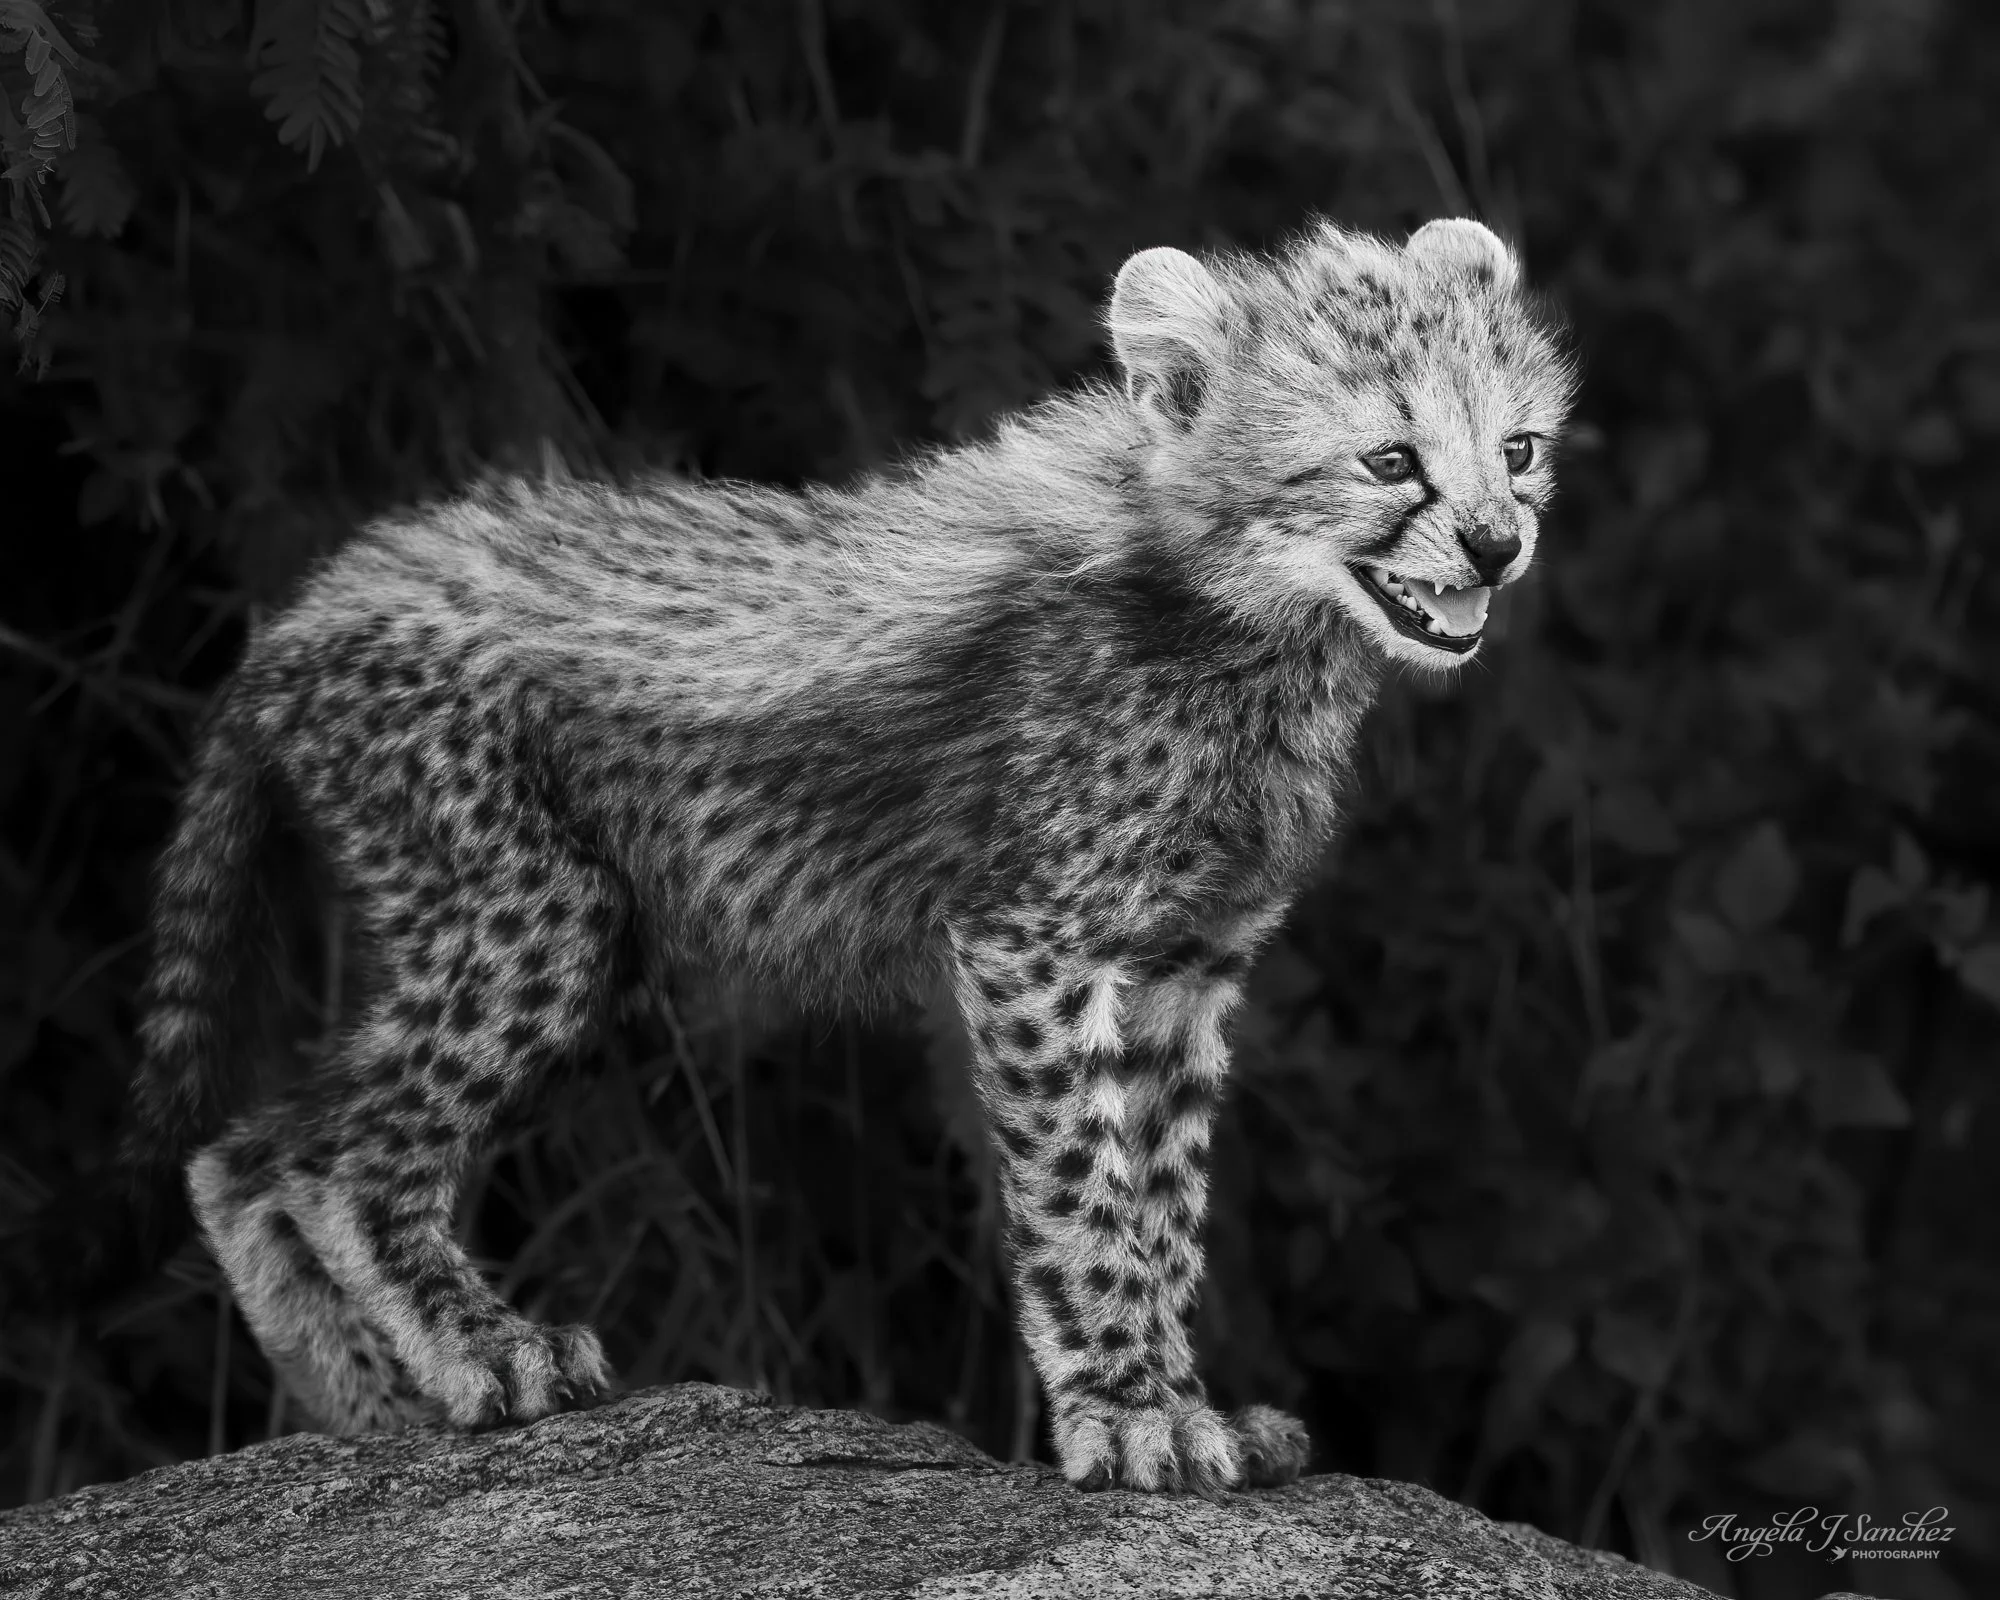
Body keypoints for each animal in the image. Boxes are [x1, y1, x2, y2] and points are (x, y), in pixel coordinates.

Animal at [130, 216, 1572, 1495]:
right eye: (1388, 459)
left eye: (1517, 449)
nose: (1498, 544)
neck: (1249, 623)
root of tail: (328, 588)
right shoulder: (1028, 942)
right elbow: (1080, 1194)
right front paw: (1126, 1409)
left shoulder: (1183, 964)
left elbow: (1163, 1202)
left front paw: (1180, 1399)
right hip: (530, 909)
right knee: (324, 1156)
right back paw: (482, 1355)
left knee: (240, 1154)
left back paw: (378, 1413)